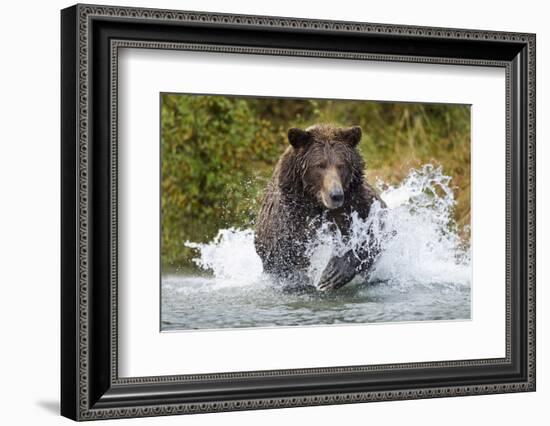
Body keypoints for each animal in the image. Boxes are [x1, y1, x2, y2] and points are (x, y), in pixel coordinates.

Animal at [256, 123, 386, 290]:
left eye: (341, 165)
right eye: (319, 165)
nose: (336, 195)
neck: (319, 204)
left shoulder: (359, 204)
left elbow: (375, 233)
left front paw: (333, 272)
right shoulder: (290, 222)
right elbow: (290, 256)